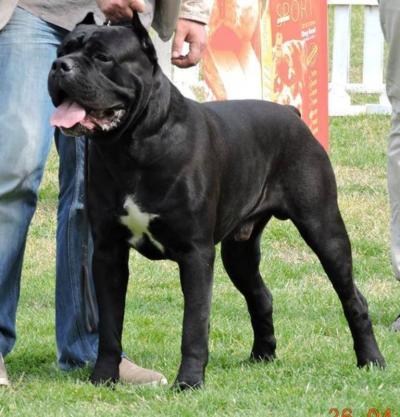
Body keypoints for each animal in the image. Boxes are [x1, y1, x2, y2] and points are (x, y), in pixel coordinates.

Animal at [48, 13, 385, 390]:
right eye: (62, 51)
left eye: (103, 57)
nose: (60, 66)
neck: (132, 146)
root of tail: (291, 112)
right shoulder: (108, 253)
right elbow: (110, 324)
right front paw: (104, 377)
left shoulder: (196, 254)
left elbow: (194, 324)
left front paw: (189, 382)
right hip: (239, 253)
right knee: (261, 296)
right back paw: (262, 356)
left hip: (324, 229)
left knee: (352, 297)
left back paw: (371, 360)